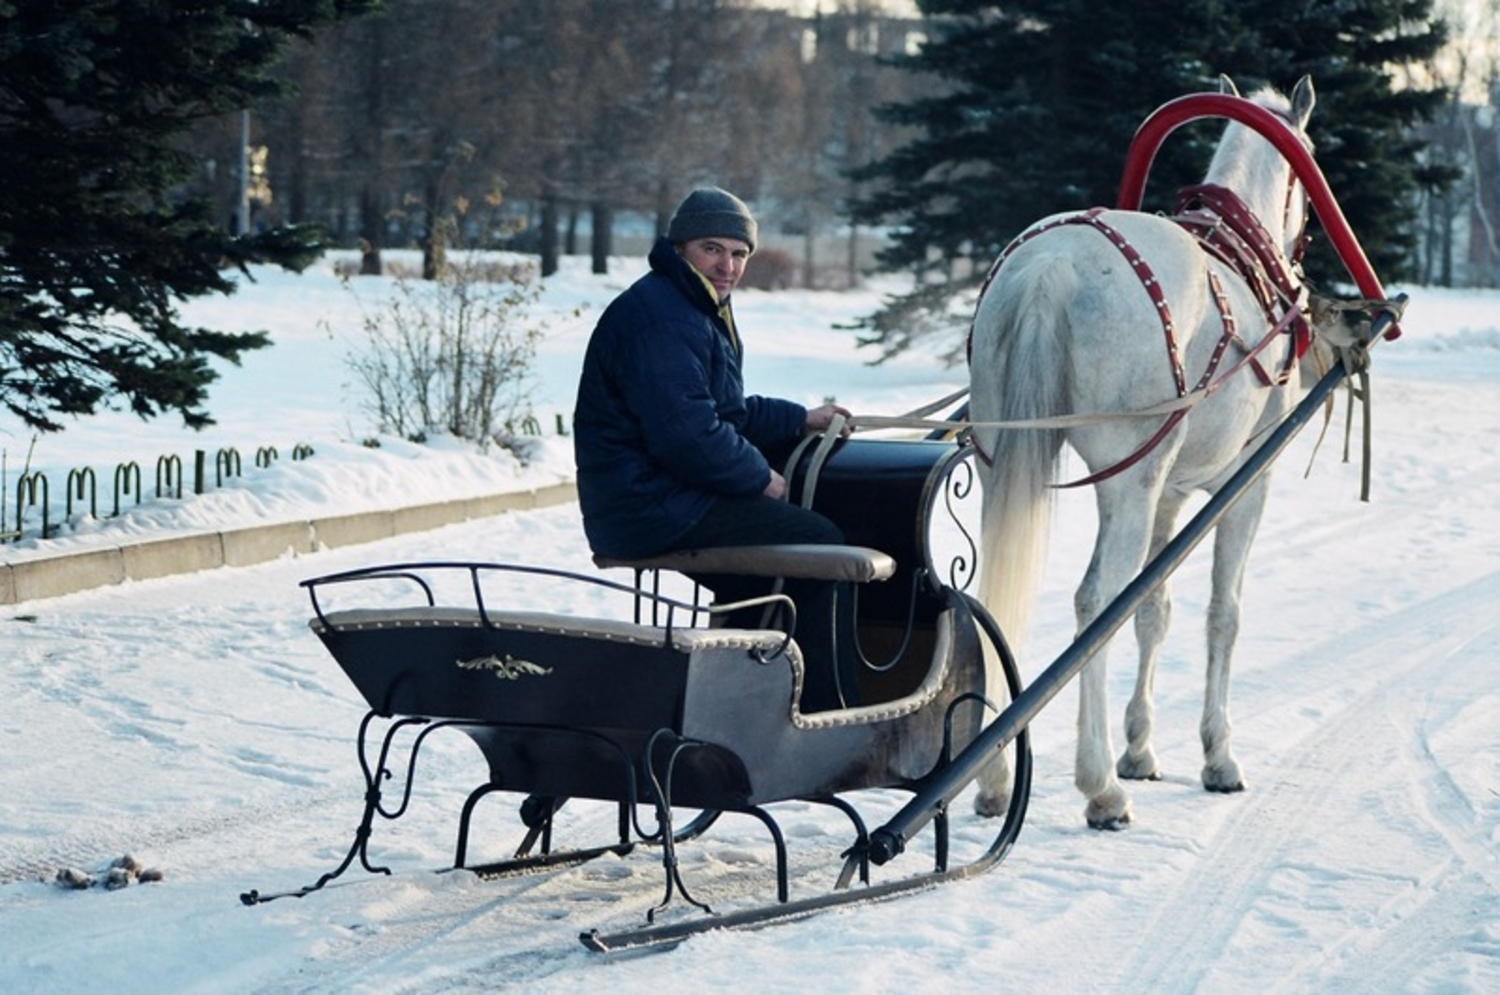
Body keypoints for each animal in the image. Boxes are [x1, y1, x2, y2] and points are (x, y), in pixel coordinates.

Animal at [972, 78, 1350, 828]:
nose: (1301, 259)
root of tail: (1052, 267)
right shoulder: (1245, 485)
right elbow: (1222, 613)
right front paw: (1217, 755)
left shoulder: (1172, 495)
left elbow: (1155, 611)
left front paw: (1141, 746)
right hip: (1128, 482)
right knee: (1096, 602)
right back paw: (1099, 789)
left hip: (1011, 458)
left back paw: (997, 776)